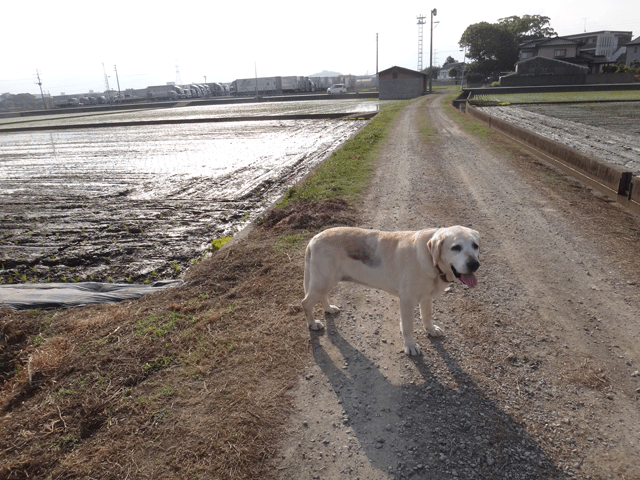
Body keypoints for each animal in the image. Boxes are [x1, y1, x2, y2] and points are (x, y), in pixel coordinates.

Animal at [302, 226, 480, 356]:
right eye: (455, 247)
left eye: (475, 246)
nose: (474, 264)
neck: (430, 258)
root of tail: (313, 240)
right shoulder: (407, 301)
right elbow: (407, 327)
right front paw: (410, 346)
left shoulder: (426, 297)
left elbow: (427, 316)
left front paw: (431, 330)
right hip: (322, 281)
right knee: (305, 303)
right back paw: (312, 323)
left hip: (325, 282)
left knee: (322, 297)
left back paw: (328, 309)